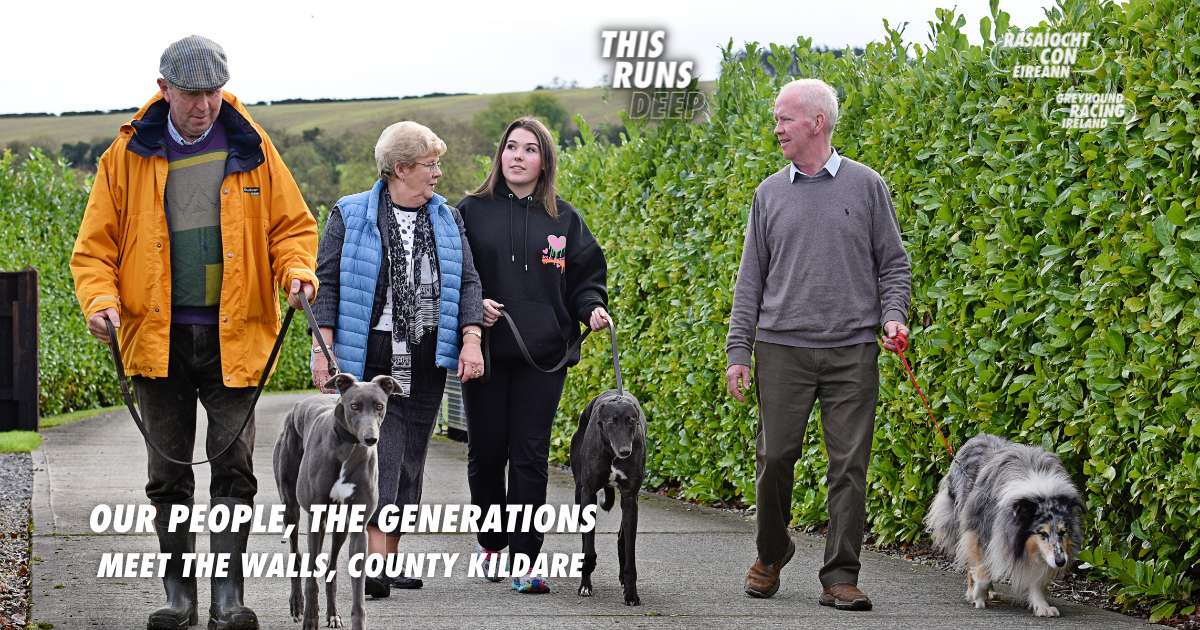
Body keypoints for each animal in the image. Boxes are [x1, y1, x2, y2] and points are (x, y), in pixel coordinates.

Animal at [921, 432, 1084, 614]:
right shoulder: (979, 530)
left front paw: (1042, 606)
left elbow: (1036, 578)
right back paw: (975, 590)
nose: (1061, 562)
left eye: (1063, 532)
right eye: (1042, 533)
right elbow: (981, 568)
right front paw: (977, 595)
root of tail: (978, 436)